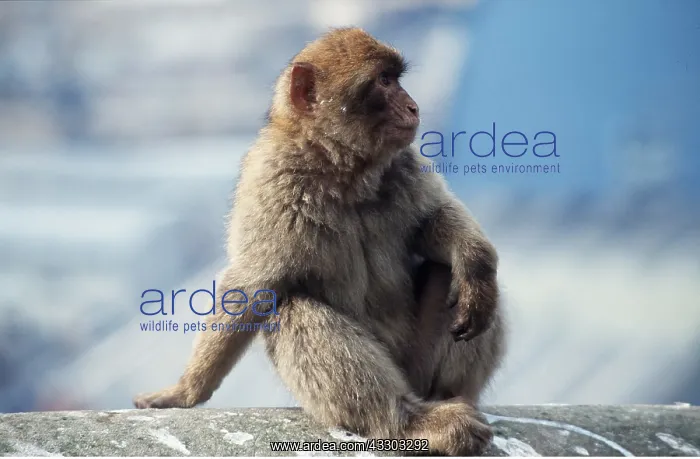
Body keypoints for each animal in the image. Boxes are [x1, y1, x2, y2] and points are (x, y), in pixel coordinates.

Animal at [133, 27, 505, 456]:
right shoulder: (271, 182)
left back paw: (449, 389)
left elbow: (431, 222)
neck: (344, 172)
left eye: (396, 78)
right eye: (384, 81)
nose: (413, 107)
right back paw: (409, 420)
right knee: (291, 307)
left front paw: (475, 265)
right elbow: (251, 289)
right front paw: (185, 392)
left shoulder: (405, 164)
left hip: (417, 369)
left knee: (448, 274)